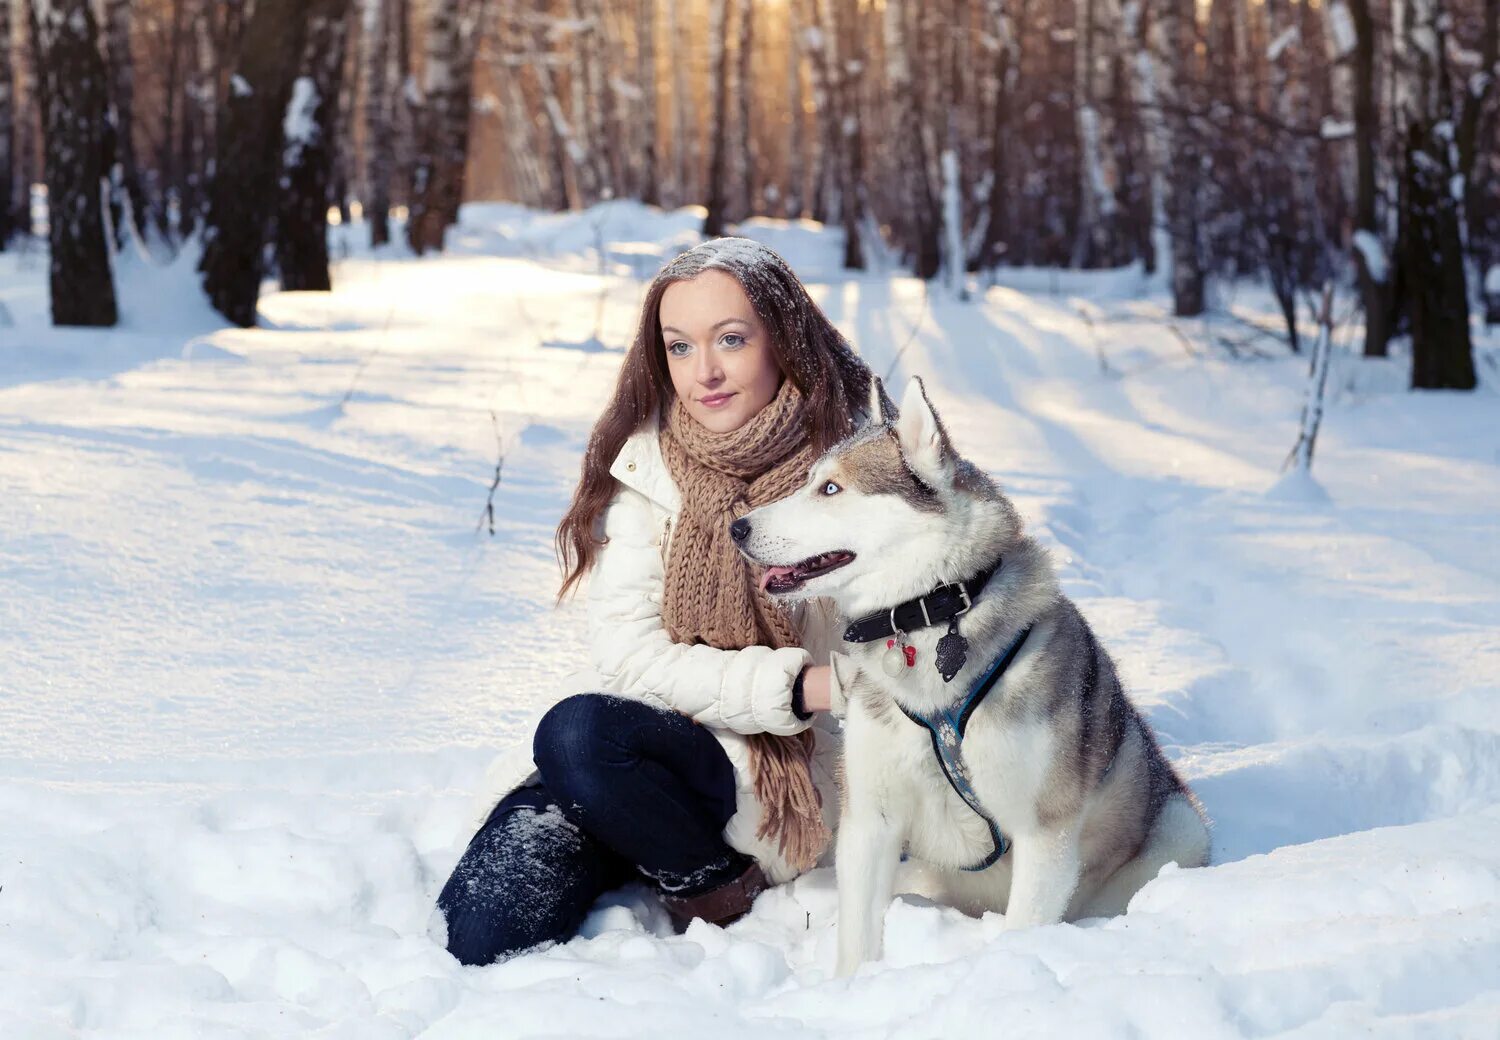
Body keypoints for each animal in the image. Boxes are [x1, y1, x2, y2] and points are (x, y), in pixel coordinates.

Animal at [732, 379, 1212, 972]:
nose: (737, 526)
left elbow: (1023, 928)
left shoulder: (1044, 832)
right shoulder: (871, 819)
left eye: (830, 488)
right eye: (809, 480)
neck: (927, 615)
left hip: (1177, 829)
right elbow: (858, 939)